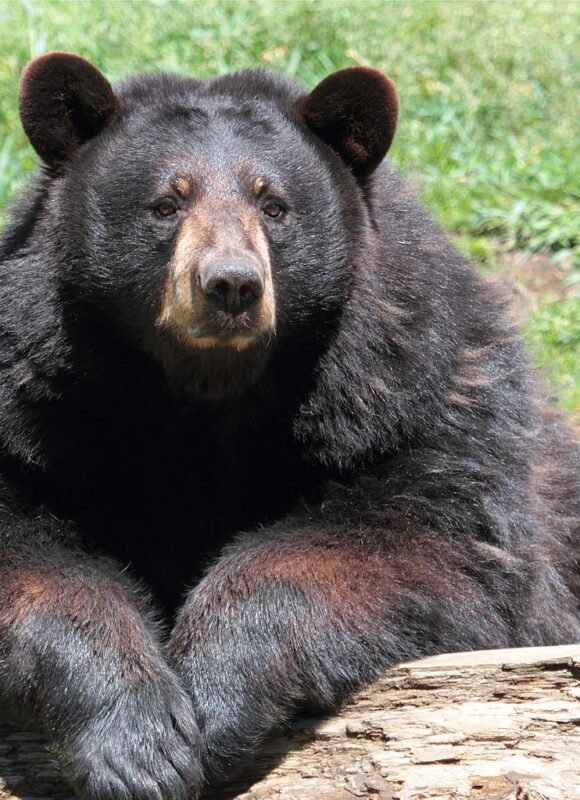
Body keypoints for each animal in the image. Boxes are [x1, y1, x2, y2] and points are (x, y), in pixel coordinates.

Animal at [0, 51, 578, 800]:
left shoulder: (414, 396)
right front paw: (137, 743)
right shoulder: (37, 411)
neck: (206, 395)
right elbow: (31, 558)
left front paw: (211, 700)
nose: (231, 284)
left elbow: (419, 540)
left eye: (273, 205)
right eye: (167, 203)